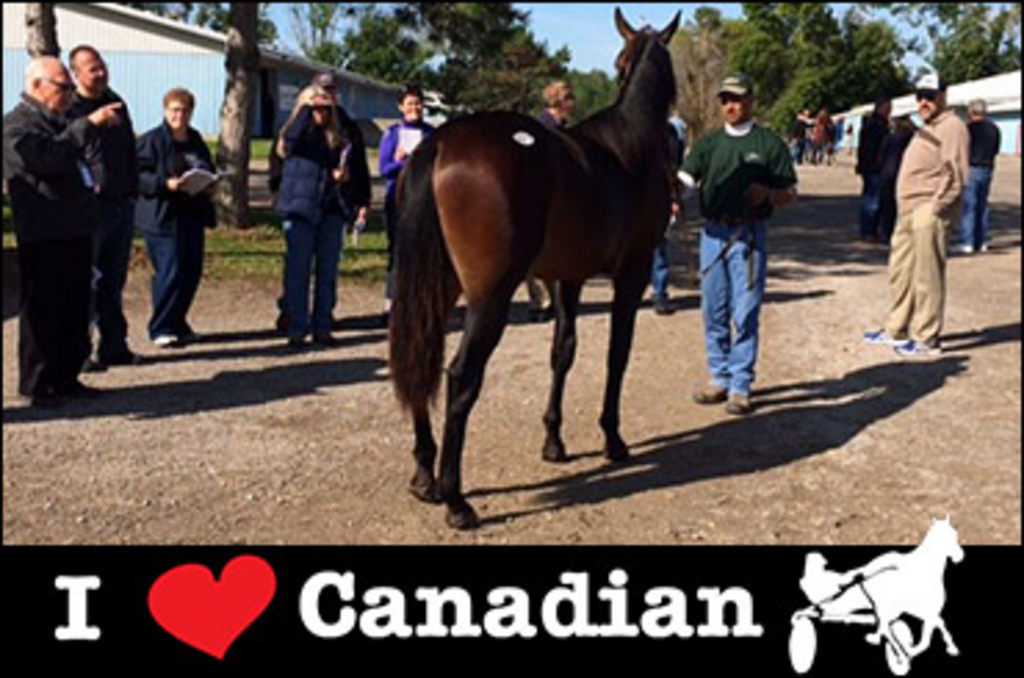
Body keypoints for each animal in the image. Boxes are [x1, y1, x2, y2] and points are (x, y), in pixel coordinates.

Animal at [389, 10, 679, 532]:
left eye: (618, 60)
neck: (631, 142)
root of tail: (438, 144)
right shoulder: (632, 274)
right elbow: (617, 356)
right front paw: (613, 440)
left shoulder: (568, 277)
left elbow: (562, 352)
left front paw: (554, 442)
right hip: (490, 297)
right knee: (459, 377)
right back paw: (455, 499)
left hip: (436, 288)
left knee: (421, 360)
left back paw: (424, 474)